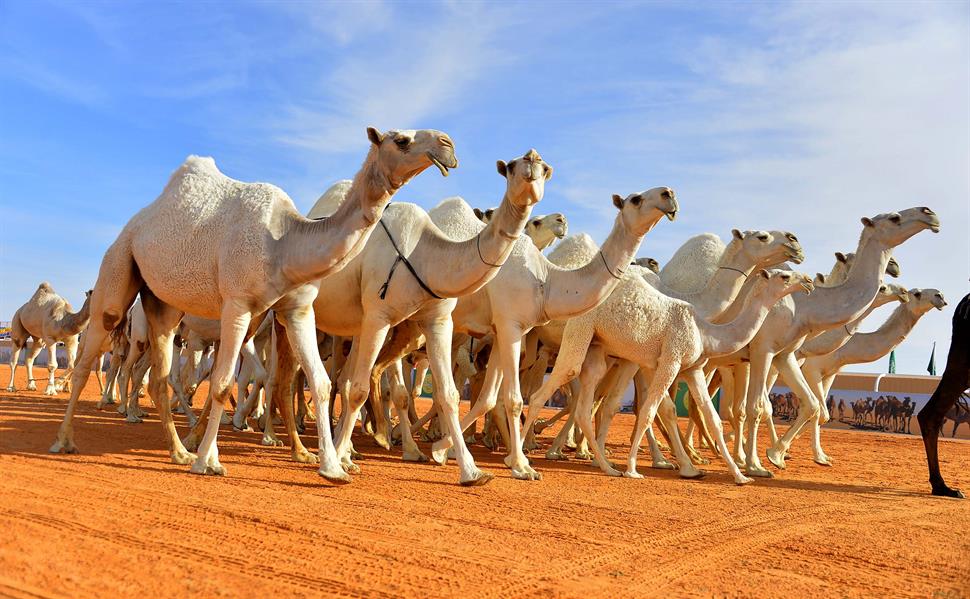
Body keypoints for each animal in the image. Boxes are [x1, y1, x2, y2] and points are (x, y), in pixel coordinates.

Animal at [428, 186, 676, 478]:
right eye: (636, 199)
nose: (668, 194)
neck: (546, 281)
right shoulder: (510, 326)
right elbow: (514, 399)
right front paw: (521, 465)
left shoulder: (504, 328)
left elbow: (488, 399)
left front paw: (441, 450)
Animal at [520, 268, 808, 482]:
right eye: (784, 276)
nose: (806, 281)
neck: (705, 332)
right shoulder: (671, 360)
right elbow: (649, 410)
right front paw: (634, 469)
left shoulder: (692, 369)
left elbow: (712, 417)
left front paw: (741, 476)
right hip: (581, 329)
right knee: (544, 390)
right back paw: (521, 459)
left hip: (597, 348)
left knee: (585, 404)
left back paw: (607, 467)